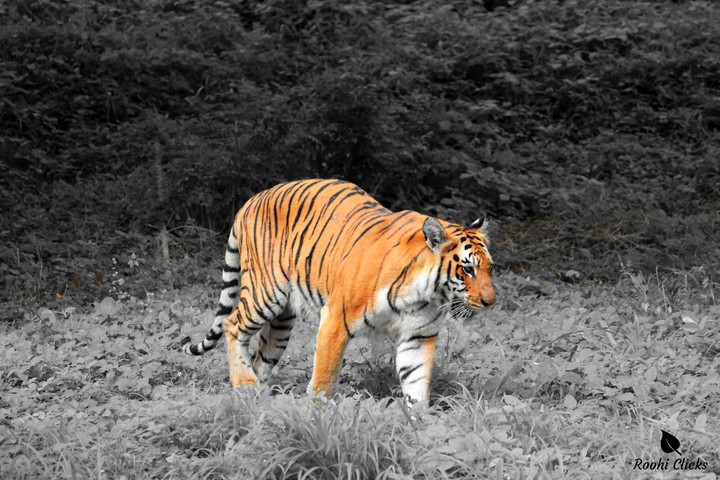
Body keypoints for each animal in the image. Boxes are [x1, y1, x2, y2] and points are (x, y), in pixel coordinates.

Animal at [182, 179, 496, 404]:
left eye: (489, 268)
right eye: (467, 269)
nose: (491, 302)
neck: (424, 295)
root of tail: (252, 199)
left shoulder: (419, 336)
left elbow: (416, 384)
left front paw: (419, 427)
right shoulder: (335, 320)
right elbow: (324, 378)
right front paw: (316, 417)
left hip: (282, 320)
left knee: (261, 357)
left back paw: (259, 398)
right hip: (265, 293)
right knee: (232, 324)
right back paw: (244, 386)